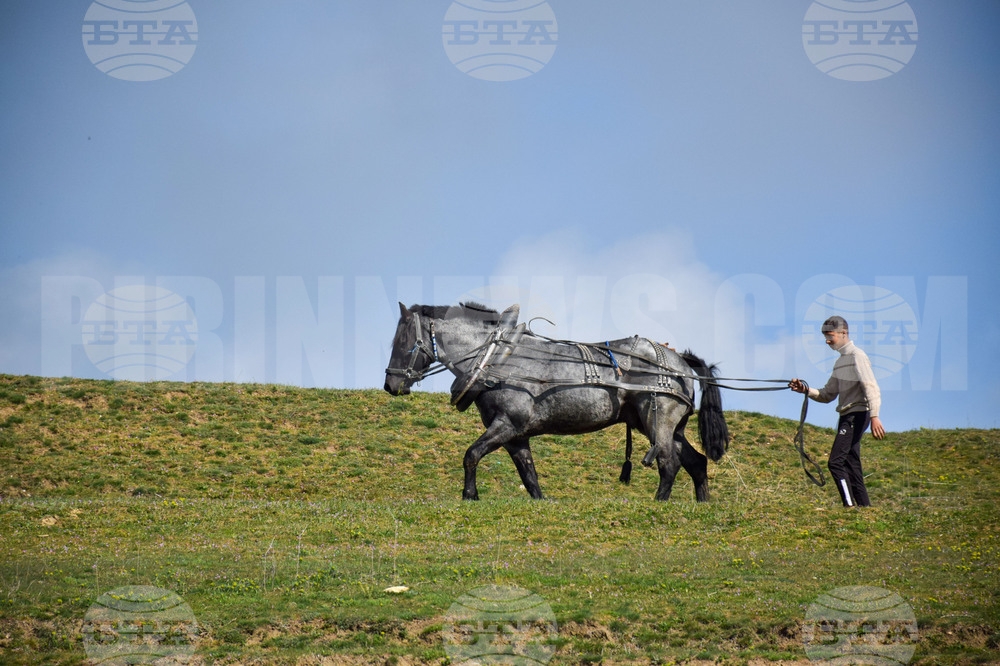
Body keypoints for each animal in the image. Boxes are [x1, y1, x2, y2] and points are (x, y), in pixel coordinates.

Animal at [380, 300, 728, 498]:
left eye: (404, 339)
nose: (390, 384)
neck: (497, 359)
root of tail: (680, 361)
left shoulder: (506, 425)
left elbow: (471, 454)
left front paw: (470, 495)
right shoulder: (514, 436)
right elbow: (529, 475)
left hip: (658, 420)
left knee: (669, 464)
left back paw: (660, 502)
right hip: (668, 426)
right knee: (696, 463)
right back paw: (702, 505)